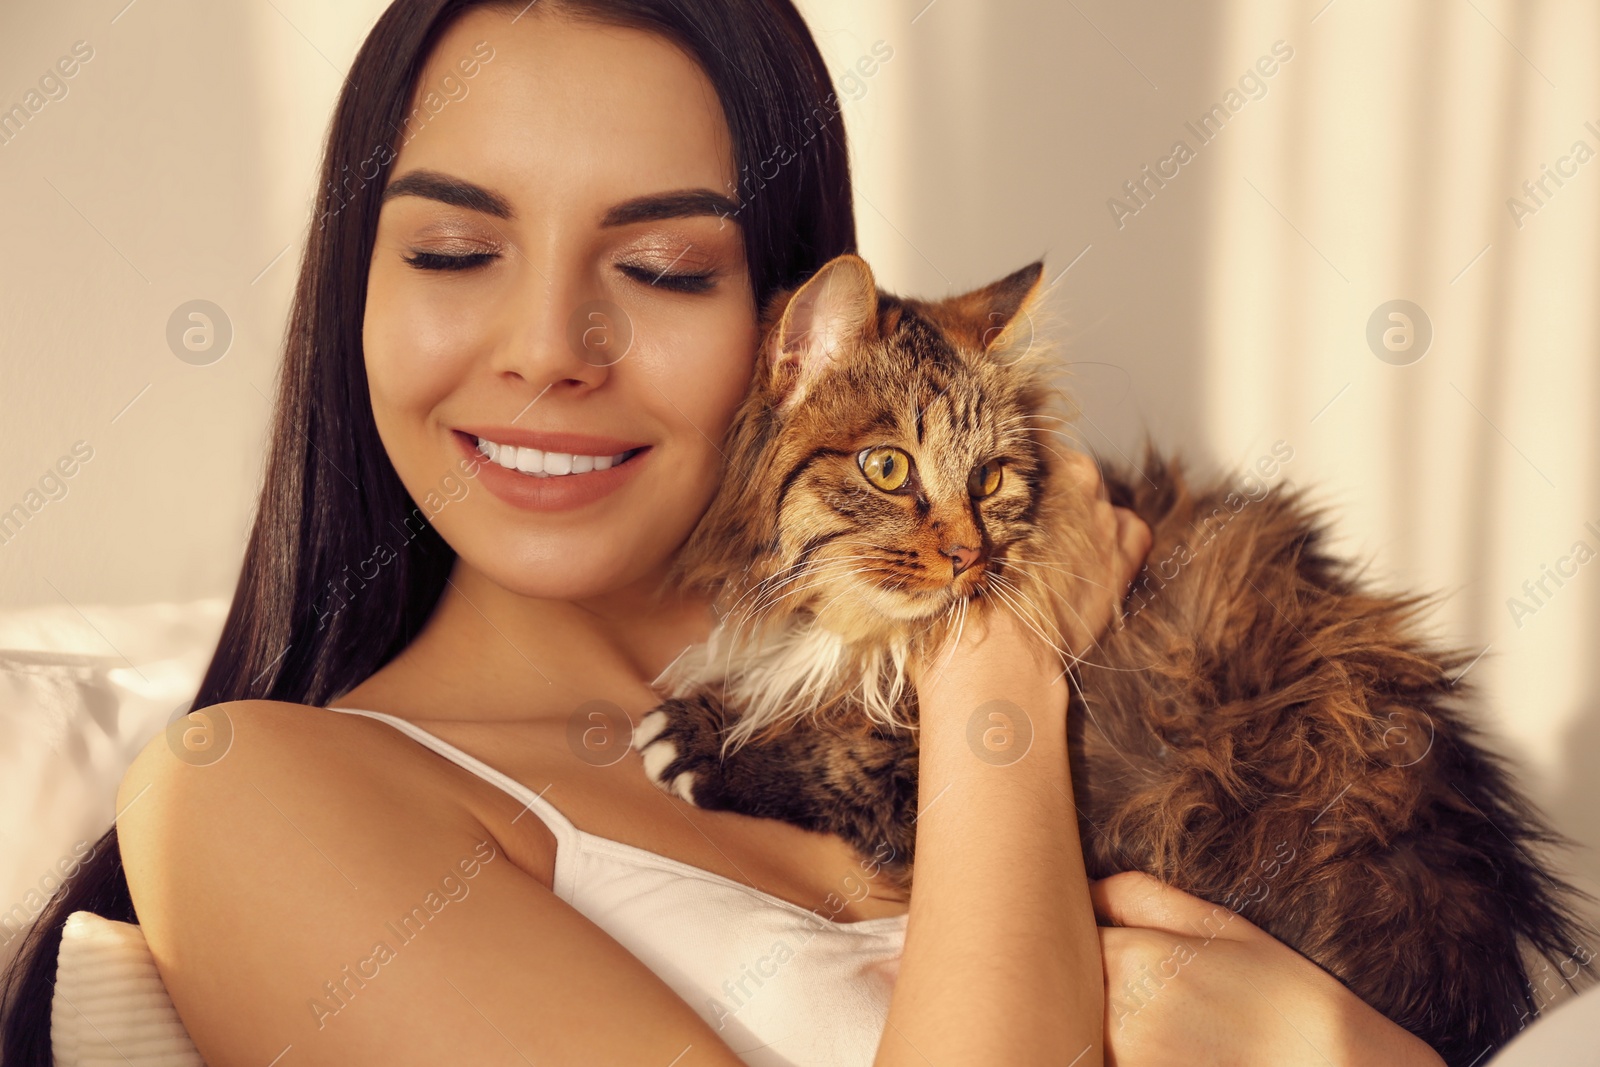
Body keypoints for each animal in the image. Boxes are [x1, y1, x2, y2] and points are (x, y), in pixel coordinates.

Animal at [630, 254, 1593, 1062]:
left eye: (988, 480)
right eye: (886, 467)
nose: (968, 556)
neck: (857, 628)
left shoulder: (923, 758)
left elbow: (833, 755)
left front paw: (694, 744)